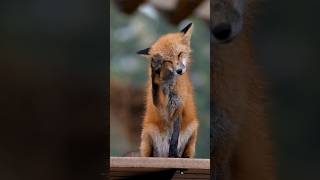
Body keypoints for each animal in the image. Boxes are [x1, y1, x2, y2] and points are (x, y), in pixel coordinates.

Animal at [137, 23, 198, 158]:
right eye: (168, 61)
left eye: (180, 54)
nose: (179, 71)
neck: (169, 86)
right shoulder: (161, 106)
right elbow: (155, 86)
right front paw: (155, 70)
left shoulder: (178, 106)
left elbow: (175, 137)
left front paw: (173, 153)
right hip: (148, 132)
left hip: (193, 129)